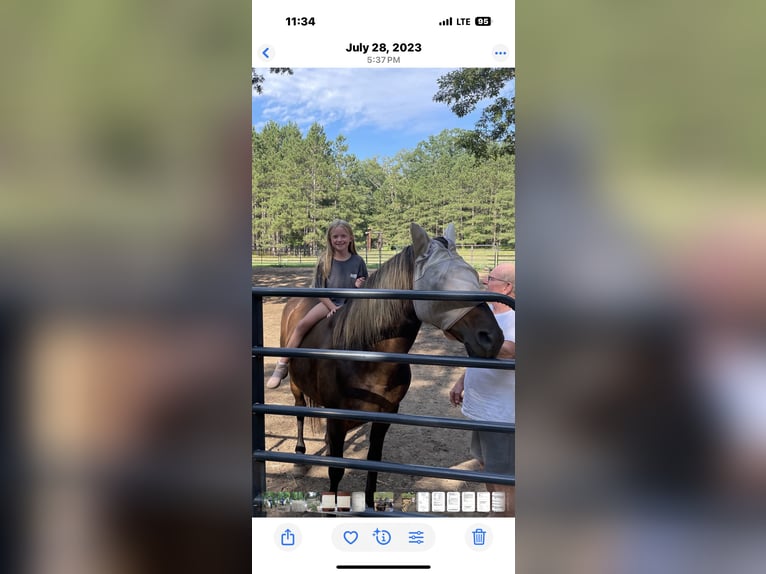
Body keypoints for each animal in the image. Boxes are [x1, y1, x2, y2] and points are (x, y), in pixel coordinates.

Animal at [279, 222, 504, 508]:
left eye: (475, 276)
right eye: (440, 283)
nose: (492, 338)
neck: (366, 359)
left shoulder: (384, 417)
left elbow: (373, 464)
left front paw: (370, 504)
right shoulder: (337, 419)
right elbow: (336, 470)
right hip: (295, 385)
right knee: (298, 412)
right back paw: (299, 455)